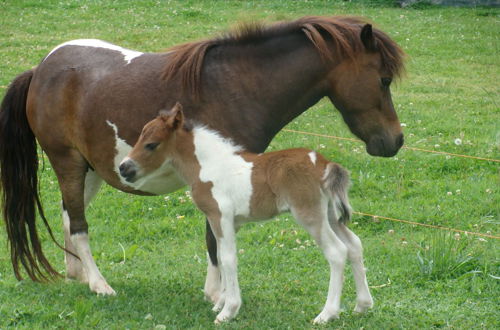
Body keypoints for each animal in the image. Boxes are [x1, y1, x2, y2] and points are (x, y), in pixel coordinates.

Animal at [0, 16, 402, 298]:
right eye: (383, 80)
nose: (395, 141)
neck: (238, 85)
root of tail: (40, 70)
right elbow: (215, 240)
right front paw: (217, 294)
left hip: (91, 170)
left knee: (70, 217)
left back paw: (77, 274)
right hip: (67, 162)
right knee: (80, 226)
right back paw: (99, 284)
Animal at [119, 104, 374, 324]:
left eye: (152, 144)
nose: (124, 167)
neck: (208, 166)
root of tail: (324, 164)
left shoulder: (220, 217)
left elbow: (228, 258)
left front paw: (228, 311)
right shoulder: (231, 222)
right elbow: (220, 255)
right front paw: (220, 303)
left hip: (310, 215)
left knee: (337, 252)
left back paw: (327, 314)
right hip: (330, 215)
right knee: (354, 245)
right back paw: (362, 305)